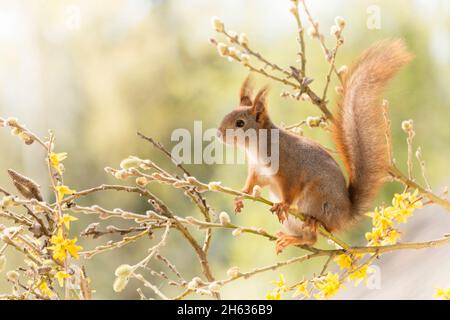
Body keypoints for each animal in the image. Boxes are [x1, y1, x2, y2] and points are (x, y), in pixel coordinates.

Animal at [217, 40, 412, 254]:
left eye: (240, 123)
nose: (219, 134)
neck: (255, 147)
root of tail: (344, 216)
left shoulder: (288, 167)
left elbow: (290, 188)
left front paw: (283, 204)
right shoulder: (257, 170)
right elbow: (254, 183)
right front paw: (242, 194)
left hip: (316, 198)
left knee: (315, 232)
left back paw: (313, 221)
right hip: (294, 221)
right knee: (309, 239)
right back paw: (289, 238)